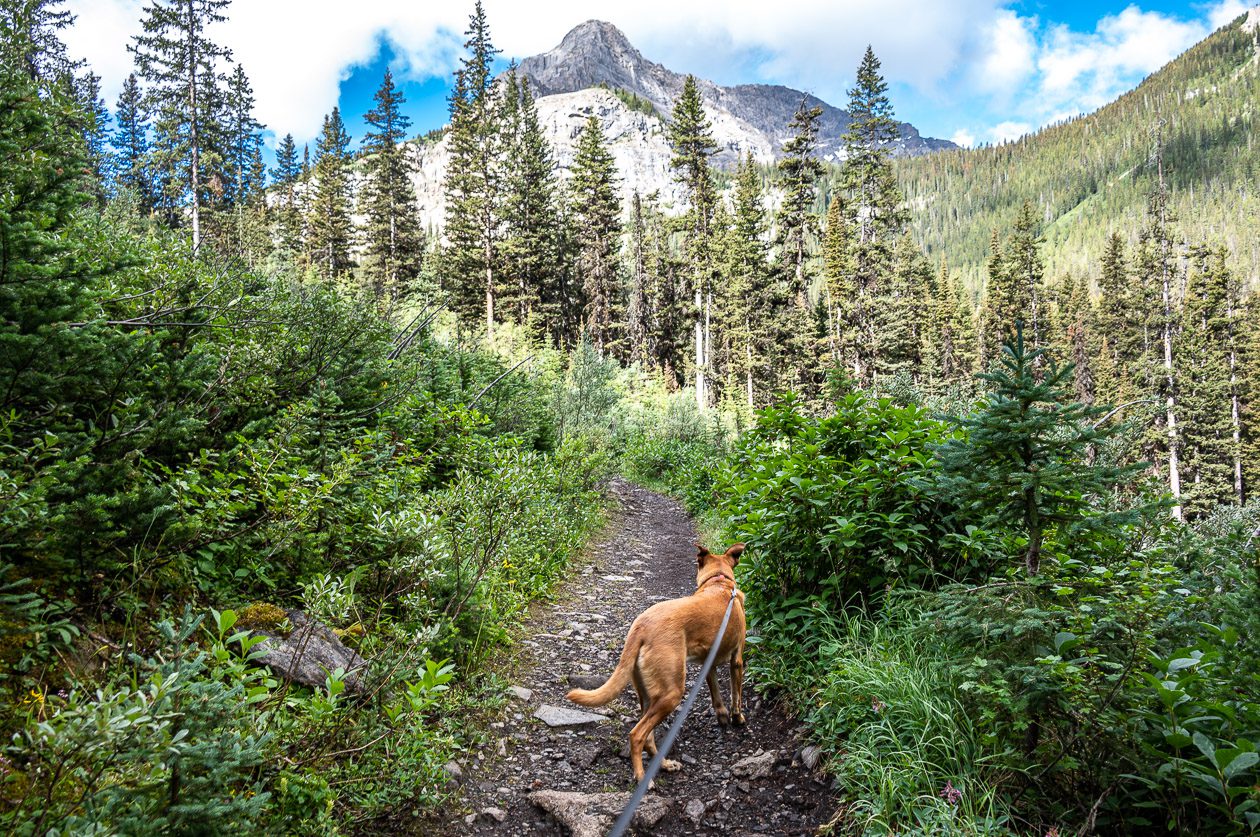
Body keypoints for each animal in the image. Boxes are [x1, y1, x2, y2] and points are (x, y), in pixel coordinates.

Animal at [564, 542, 740, 786]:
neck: (720, 582)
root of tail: (641, 626)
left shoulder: (709, 664)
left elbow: (716, 692)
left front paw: (722, 715)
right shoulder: (737, 658)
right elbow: (736, 695)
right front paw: (738, 718)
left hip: (650, 696)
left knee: (648, 738)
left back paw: (664, 764)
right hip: (671, 694)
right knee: (637, 735)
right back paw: (642, 777)